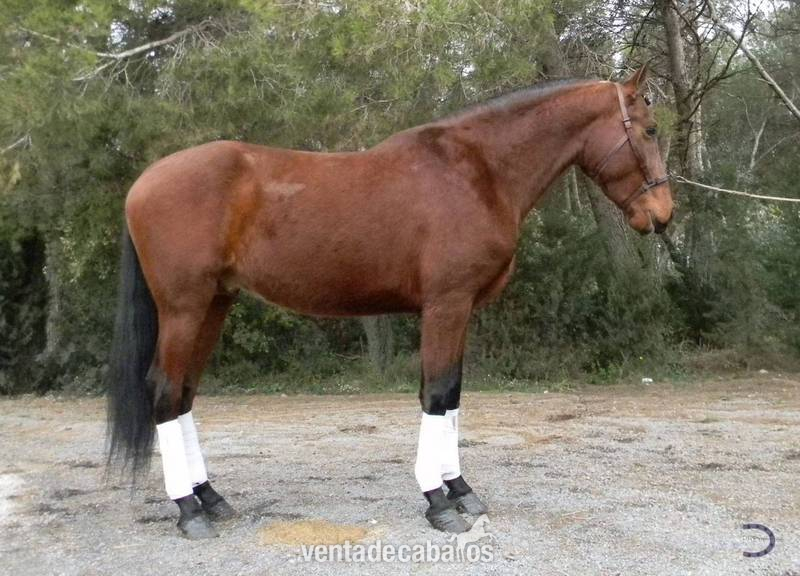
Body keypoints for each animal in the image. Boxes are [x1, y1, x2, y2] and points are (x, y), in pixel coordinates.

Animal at [107, 64, 673, 539]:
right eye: (649, 130)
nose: (664, 215)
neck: (478, 171)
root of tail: (143, 182)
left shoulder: (460, 310)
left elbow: (452, 394)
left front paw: (460, 490)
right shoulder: (446, 305)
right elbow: (437, 394)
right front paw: (439, 502)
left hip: (214, 304)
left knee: (184, 394)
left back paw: (210, 498)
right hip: (183, 308)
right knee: (164, 392)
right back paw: (188, 511)